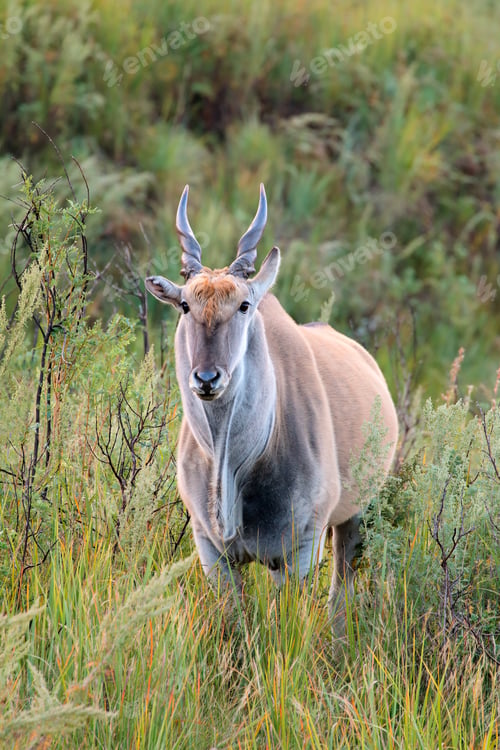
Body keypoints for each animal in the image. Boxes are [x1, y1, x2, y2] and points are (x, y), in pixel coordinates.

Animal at [145, 185, 398, 621]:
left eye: (244, 305)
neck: (238, 463)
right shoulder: (212, 552)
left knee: (341, 590)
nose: (207, 379)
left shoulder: (299, 551)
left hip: (355, 515)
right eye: (185, 305)